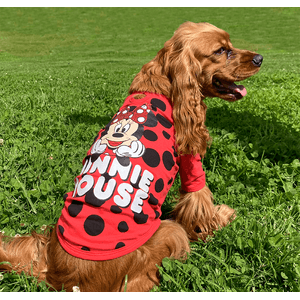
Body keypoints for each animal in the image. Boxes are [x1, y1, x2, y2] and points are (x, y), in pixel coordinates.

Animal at [0, 22, 262, 292]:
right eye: (221, 51)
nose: (260, 58)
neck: (165, 84)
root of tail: (62, 279)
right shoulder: (190, 160)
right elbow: (200, 200)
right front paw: (219, 218)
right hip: (169, 232)